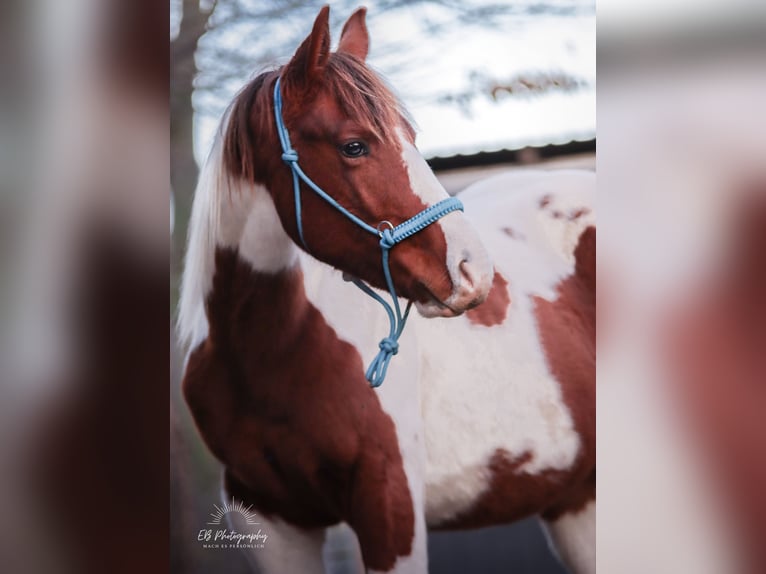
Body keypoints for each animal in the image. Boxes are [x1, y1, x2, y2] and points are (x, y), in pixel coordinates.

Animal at [178, 6, 595, 574]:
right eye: (354, 145)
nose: (474, 270)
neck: (276, 351)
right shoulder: (268, 519)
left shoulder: (390, 506)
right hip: (576, 500)